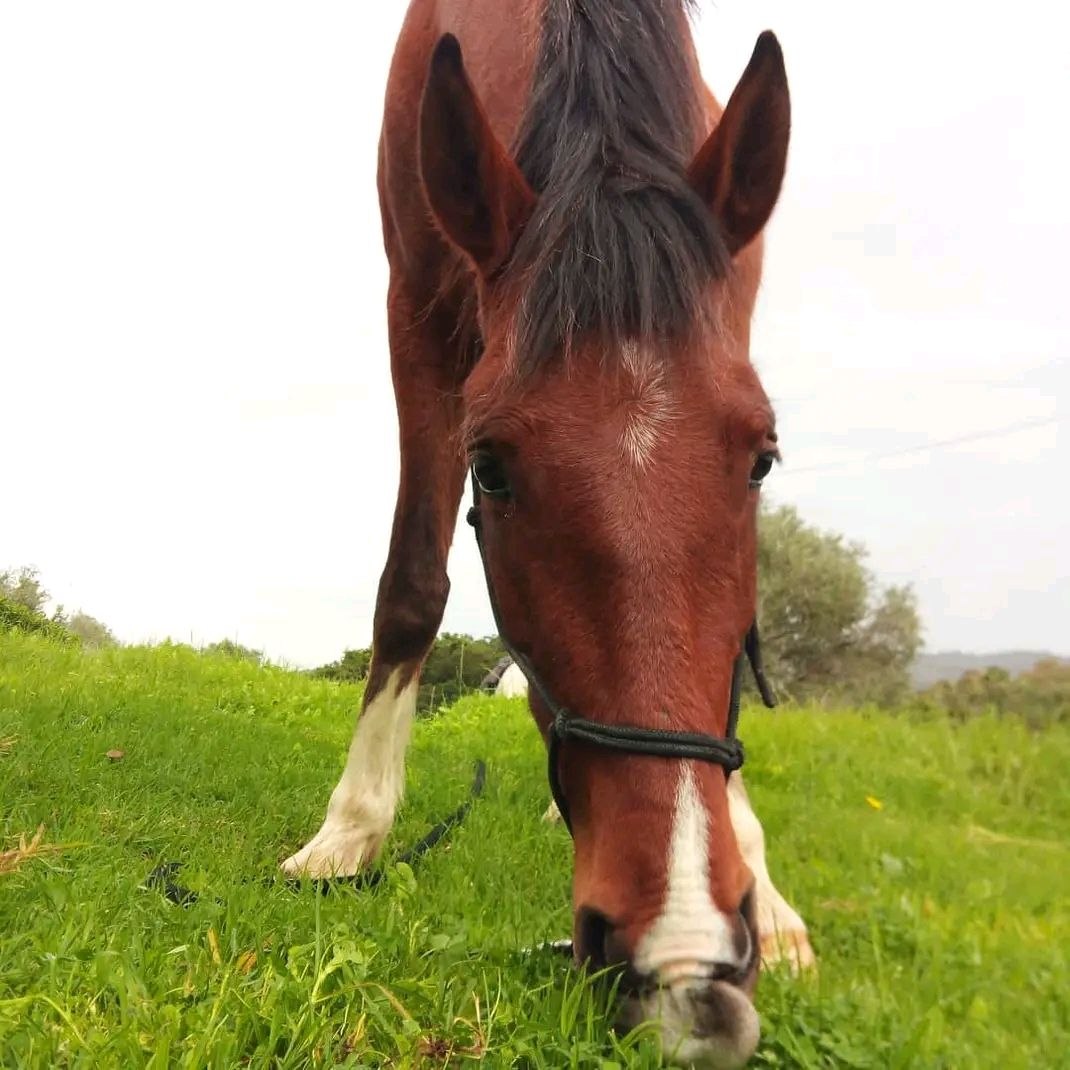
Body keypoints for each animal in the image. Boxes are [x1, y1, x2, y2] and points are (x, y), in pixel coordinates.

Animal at [283, 1, 812, 1064]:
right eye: (490, 467)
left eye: (763, 458)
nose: (683, 956)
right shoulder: (416, 311)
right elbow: (412, 584)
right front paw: (351, 829)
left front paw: (762, 891)